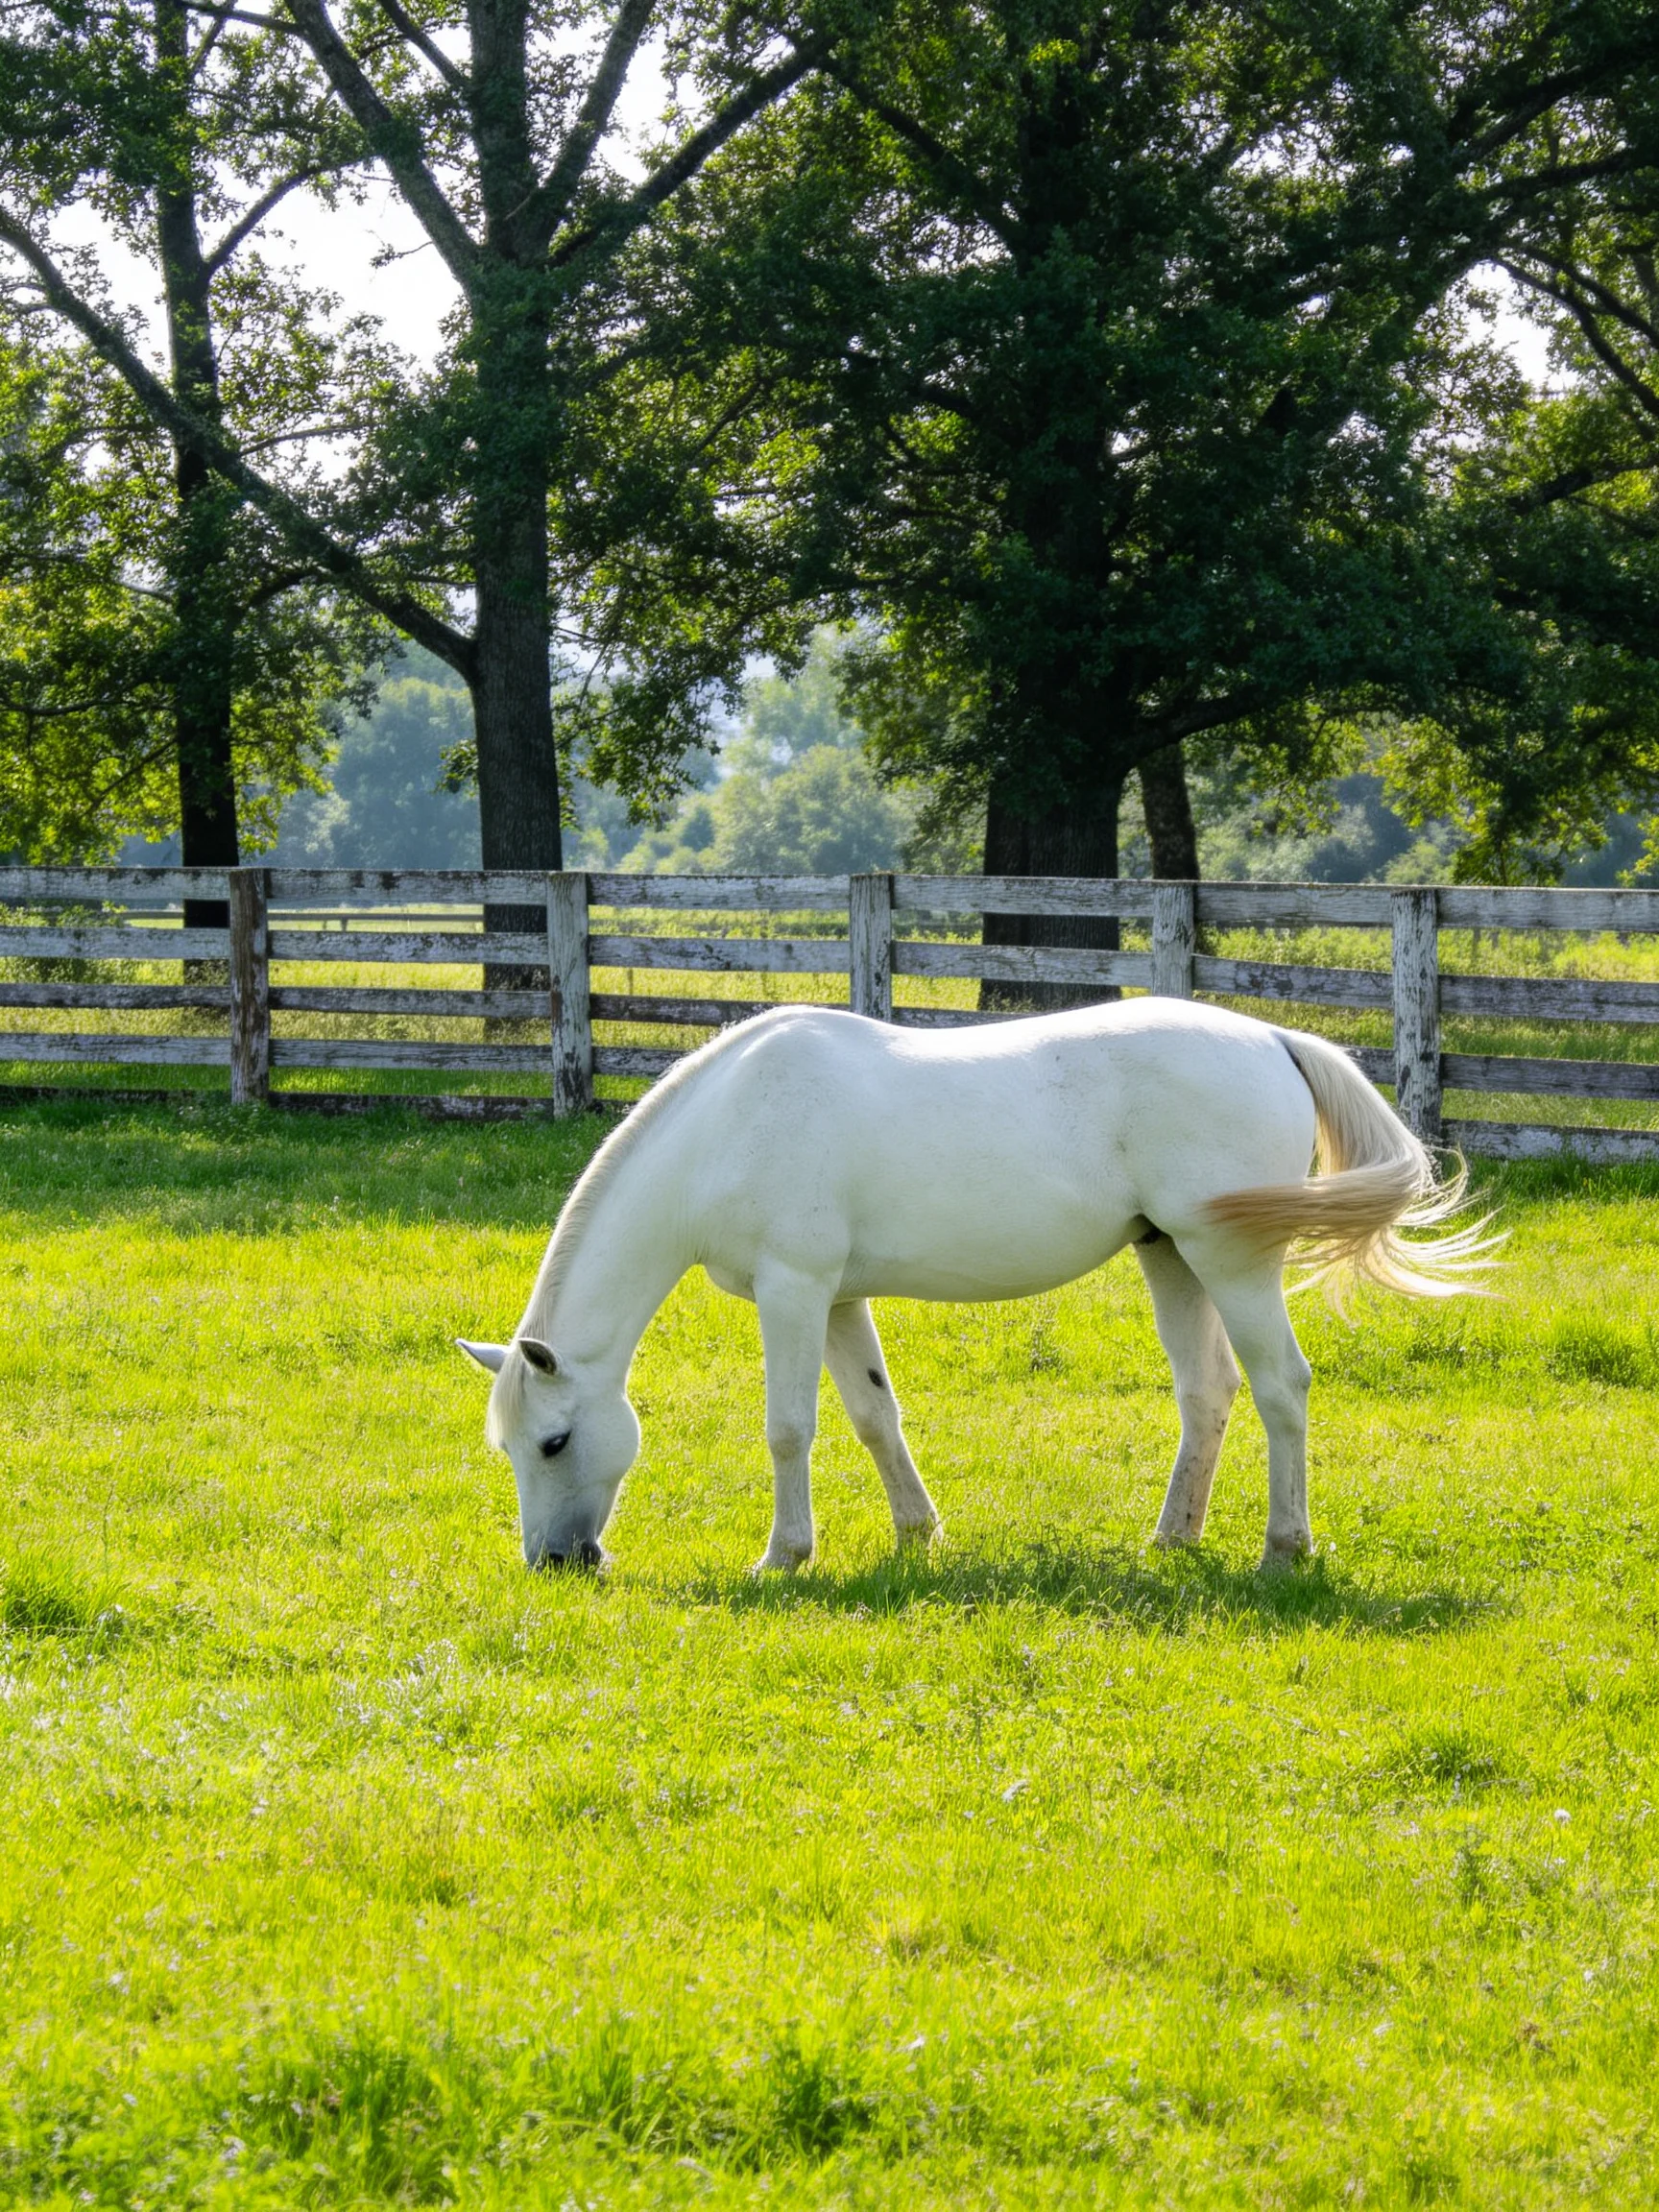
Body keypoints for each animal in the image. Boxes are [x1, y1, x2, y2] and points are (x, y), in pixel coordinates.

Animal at [458, 998, 1487, 1575]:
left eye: (554, 1441)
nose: (555, 1565)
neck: (729, 1126)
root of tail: (1273, 1038)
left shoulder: (795, 1292)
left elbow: (790, 1428)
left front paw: (784, 1557)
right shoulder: (839, 1298)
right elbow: (875, 1416)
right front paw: (918, 1536)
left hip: (1230, 1261)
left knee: (1281, 1389)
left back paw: (1284, 1550)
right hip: (1171, 1257)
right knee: (1209, 1395)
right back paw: (1171, 1541)